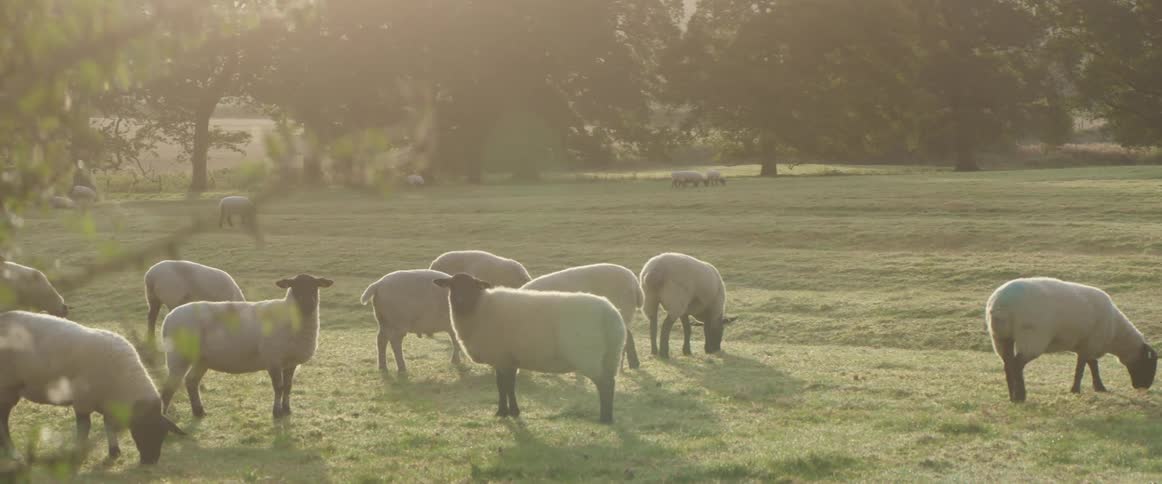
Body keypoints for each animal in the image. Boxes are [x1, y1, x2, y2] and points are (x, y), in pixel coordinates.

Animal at [0, 311, 185, 464]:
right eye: (145, 430)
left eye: (163, 434)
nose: (151, 461)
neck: (124, 381)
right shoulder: (83, 401)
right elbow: (84, 429)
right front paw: (78, 455)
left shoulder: (108, 402)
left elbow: (108, 424)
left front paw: (114, 451)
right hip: (6, 388)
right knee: (3, 421)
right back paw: (13, 454)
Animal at [160, 274, 333, 419]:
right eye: (295, 286)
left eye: (315, 286)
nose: (309, 303)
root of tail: (168, 318)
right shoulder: (273, 359)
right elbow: (279, 387)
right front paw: (277, 412)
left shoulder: (290, 362)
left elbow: (288, 387)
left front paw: (287, 409)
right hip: (178, 355)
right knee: (168, 388)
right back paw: (164, 419)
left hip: (202, 359)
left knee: (191, 381)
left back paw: (199, 412)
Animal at [434, 273, 625, 423]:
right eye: (452, 286)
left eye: (473, 287)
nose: (459, 301)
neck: (479, 308)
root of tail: (611, 314)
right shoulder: (509, 359)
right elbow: (508, 386)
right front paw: (512, 411)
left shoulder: (501, 357)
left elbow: (502, 385)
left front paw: (503, 412)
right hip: (610, 356)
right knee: (610, 383)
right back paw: (608, 416)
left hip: (588, 355)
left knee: (605, 384)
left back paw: (605, 419)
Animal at [986, 277, 1158, 402]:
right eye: (1149, 363)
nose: (1144, 387)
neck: (1116, 333)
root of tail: (1000, 303)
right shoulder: (1091, 344)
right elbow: (1082, 368)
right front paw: (1077, 389)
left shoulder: (1086, 344)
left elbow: (1091, 365)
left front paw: (1098, 387)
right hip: (1032, 338)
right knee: (1016, 365)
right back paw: (1020, 396)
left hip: (1001, 337)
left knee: (1008, 364)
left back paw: (1012, 396)